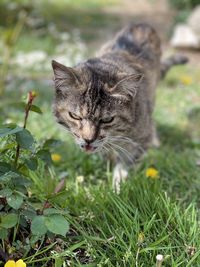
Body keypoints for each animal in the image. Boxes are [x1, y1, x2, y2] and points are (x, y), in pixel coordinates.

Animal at [51, 23, 188, 194]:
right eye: (75, 116)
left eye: (107, 119)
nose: (88, 140)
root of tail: (142, 24)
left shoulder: (140, 139)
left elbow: (125, 164)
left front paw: (118, 188)